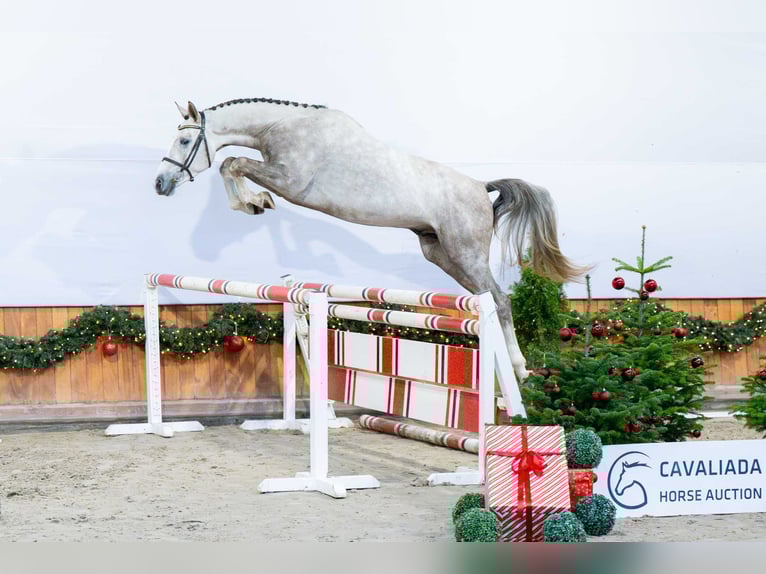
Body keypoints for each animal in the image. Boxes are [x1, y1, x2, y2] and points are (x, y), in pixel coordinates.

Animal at [153, 98, 587, 382]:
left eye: (184, 142)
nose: (160, 184)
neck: (283, 126)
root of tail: (481, 187)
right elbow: (232, 164)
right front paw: (253, 203)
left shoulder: (289, 180)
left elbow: (233, 162)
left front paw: (254, 202)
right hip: (440, 253)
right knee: (491, 300)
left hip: (466, 254)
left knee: (499, 301)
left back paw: (518, 369)